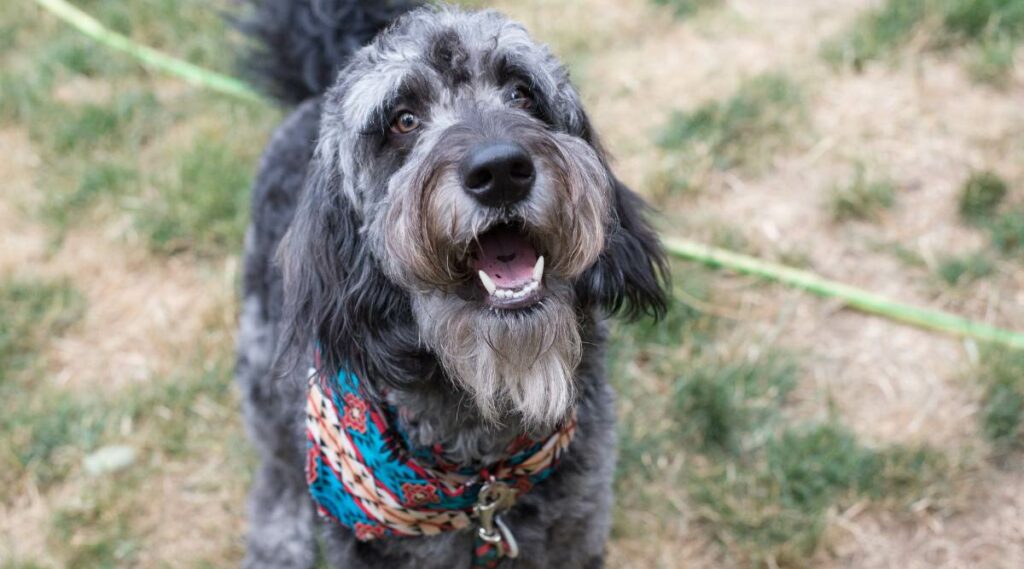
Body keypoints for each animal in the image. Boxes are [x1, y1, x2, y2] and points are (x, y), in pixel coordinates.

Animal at [237, 2, 671, 564]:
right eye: (403, 119)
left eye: (521, 92)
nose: (501, 170)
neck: (482, 481)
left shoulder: (579, 530)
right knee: (276, 476)